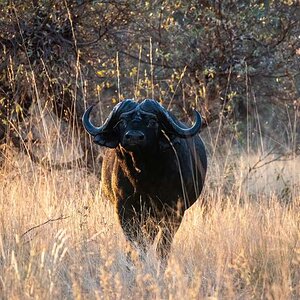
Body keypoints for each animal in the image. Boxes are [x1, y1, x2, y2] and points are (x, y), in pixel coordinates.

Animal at [83, 100, 207, 264]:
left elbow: (163, 245)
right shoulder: (124, 209)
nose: (134, 137)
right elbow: (135, 241)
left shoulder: (174, 211)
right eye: (122, 121)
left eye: (153, 121)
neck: (144, 179)